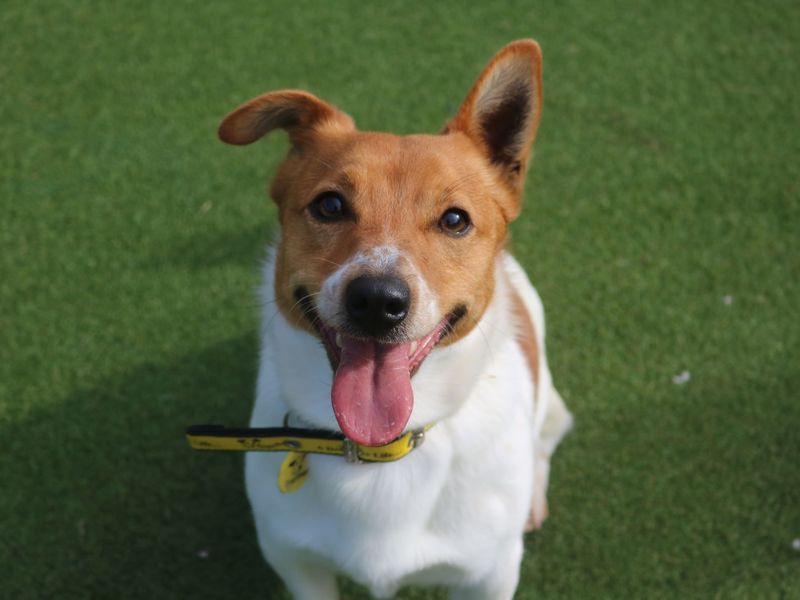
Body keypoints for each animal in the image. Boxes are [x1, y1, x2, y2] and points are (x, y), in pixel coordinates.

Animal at [216, 39, 572, 596]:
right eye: (330, 205)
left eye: (455, 219)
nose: (378, 301)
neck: (380, 453)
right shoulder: (295, 561)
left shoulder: (487, 576)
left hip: (552, 405)